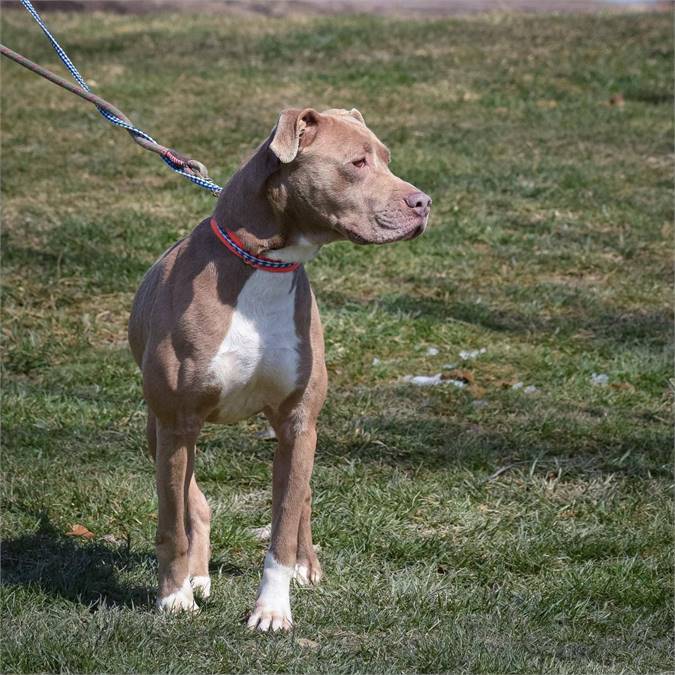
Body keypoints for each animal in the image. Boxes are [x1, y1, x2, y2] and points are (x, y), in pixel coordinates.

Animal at [128, 108, 434, 632]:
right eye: (358, 162)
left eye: (387, 158)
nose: (424, 203)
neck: (265, 266)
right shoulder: (176, 423)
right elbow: (173, 521)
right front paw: (174, 598)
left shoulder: (297, 421)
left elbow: (284, 524)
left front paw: (272, 610)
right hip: (159, 429)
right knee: (194, 502)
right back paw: (197, 577)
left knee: (301, 497)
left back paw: (306, 566)